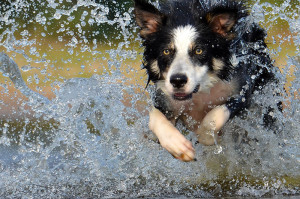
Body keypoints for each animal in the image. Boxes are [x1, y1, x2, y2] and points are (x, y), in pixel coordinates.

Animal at [134, 0, 274, 162]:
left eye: (199, 50)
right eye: (166, 51)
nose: (177, 80)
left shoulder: (242, 90)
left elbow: (216, 113)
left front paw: (206, 135)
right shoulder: (164, 97)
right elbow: (154, 117)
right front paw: (177, 145)